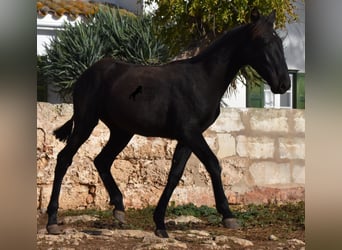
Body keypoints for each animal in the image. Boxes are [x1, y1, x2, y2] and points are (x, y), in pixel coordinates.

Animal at [46, 8, 290, 237]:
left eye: (280, 42)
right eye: (263, 41)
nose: (284, 84)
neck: (202, 79)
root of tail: (86, 74)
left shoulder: (187, 137)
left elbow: (175, 174)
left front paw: (160, 224)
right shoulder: (191, 132)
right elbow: (213, 164)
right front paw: (228, 215)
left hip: (122, 131)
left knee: (102, 160)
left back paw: (119, 209)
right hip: (86, 122)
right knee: (65, 158)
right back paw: (52, 220)